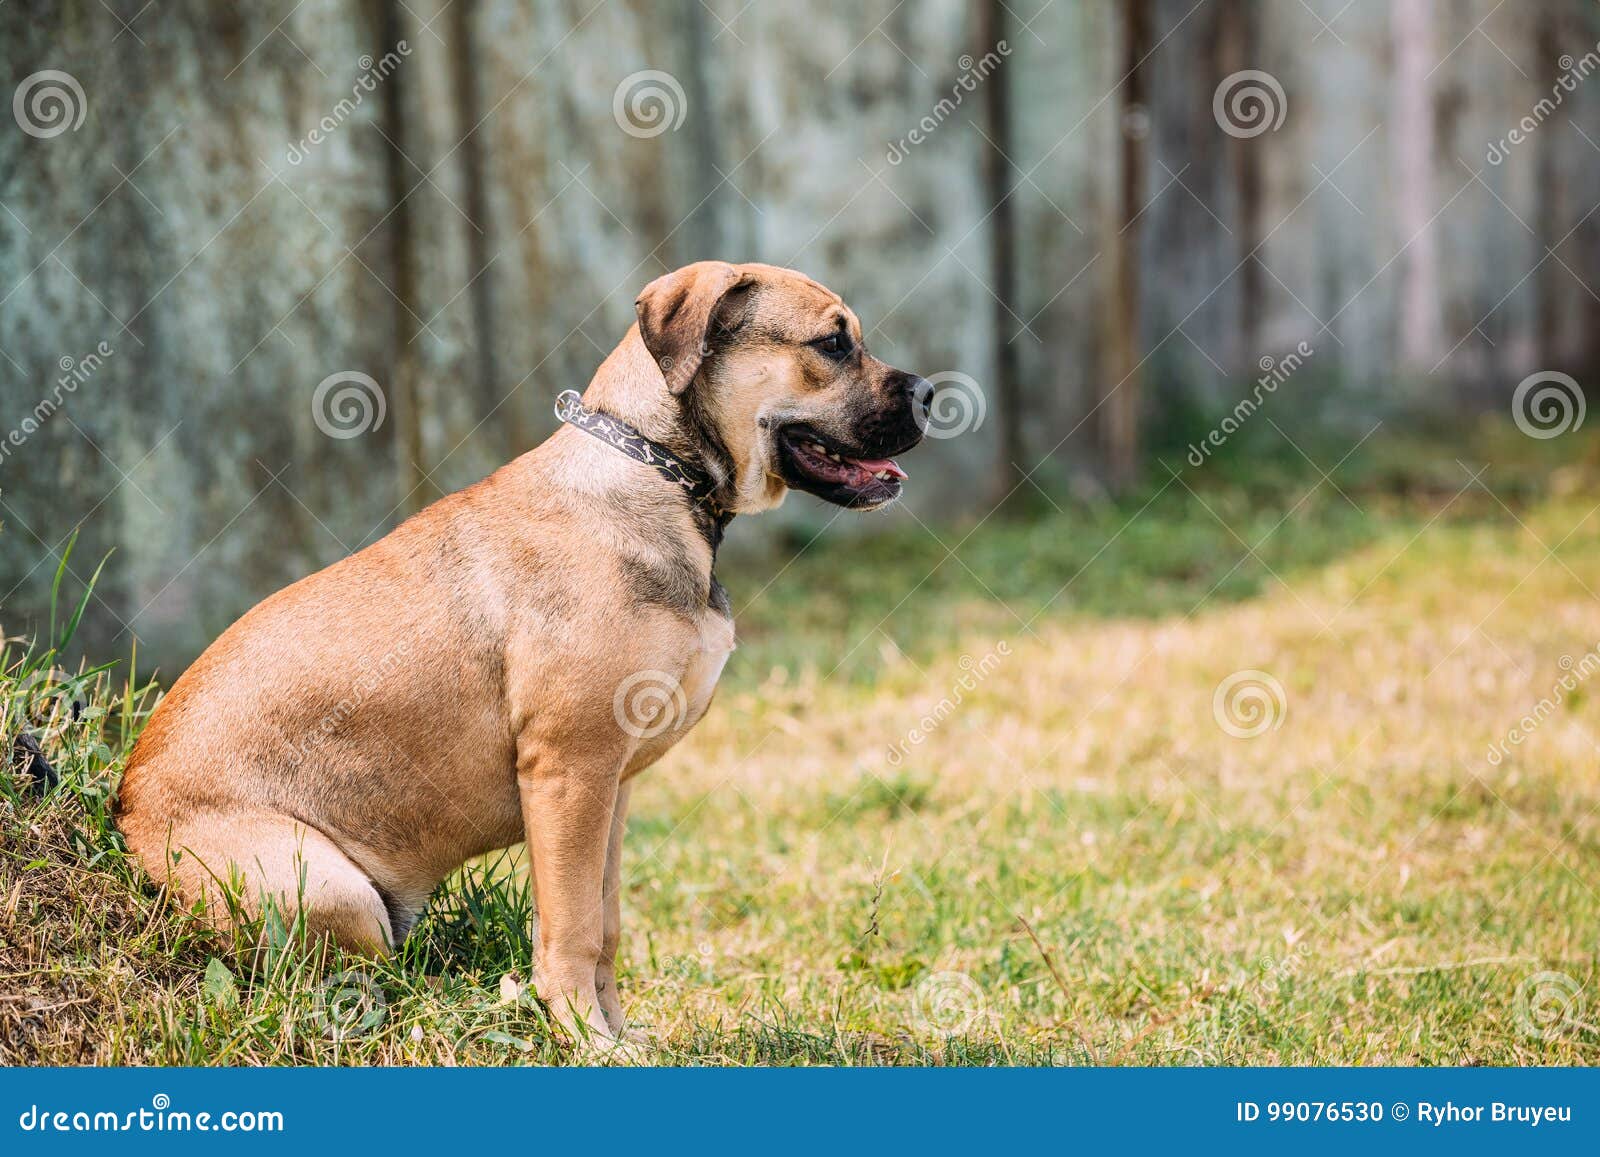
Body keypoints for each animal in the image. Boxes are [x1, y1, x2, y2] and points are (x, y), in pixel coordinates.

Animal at [116, 260, 928, 1043]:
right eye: (832, 343)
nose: (929, 393)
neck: (654, 473)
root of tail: (125, 817)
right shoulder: (570, 774)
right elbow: (571, 927)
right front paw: (583, 1038)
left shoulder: (609, 789)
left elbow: (603, 923)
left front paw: (617, 1033)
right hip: (326, 886)